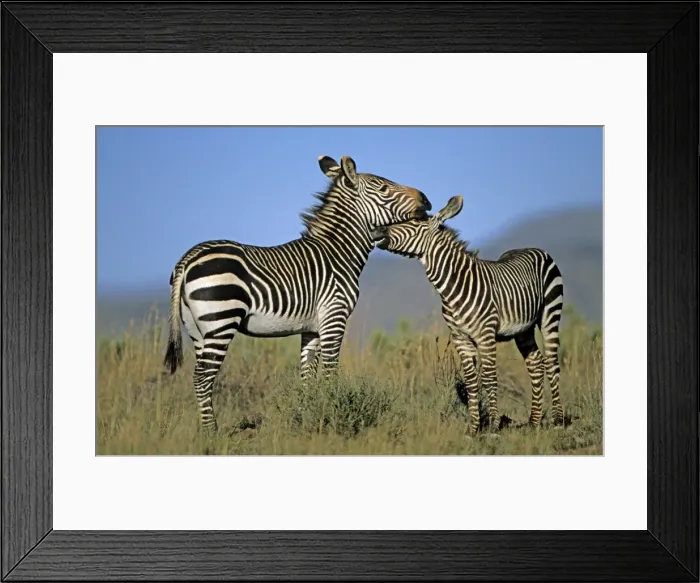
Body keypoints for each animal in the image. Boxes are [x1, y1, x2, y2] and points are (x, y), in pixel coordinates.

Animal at [164, 154, 432, 432]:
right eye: (384, 189)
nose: (426, 199)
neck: (338, 253)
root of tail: (188, 257)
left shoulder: (312, 328)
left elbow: (307, 376)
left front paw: (307, 416)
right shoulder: (334, 317)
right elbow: (330, 372)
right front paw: (333, 413)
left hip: (197, 329)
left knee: (199, 376)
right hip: (221, 321)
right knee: (203, 377)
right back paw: (211, 432)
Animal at [370, 195, 565, 434]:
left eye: (414, 222)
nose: (376, 231)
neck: (452, 287)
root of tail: (534, 248)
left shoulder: (486, 335)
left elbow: (489, 378)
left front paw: (493, 426)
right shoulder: (460, 338)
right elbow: (471, 381)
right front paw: (473, 429)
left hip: (550, 314)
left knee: (552, 363)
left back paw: (558, 421)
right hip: (523, 329)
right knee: (535, 363)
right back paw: (533, 422)